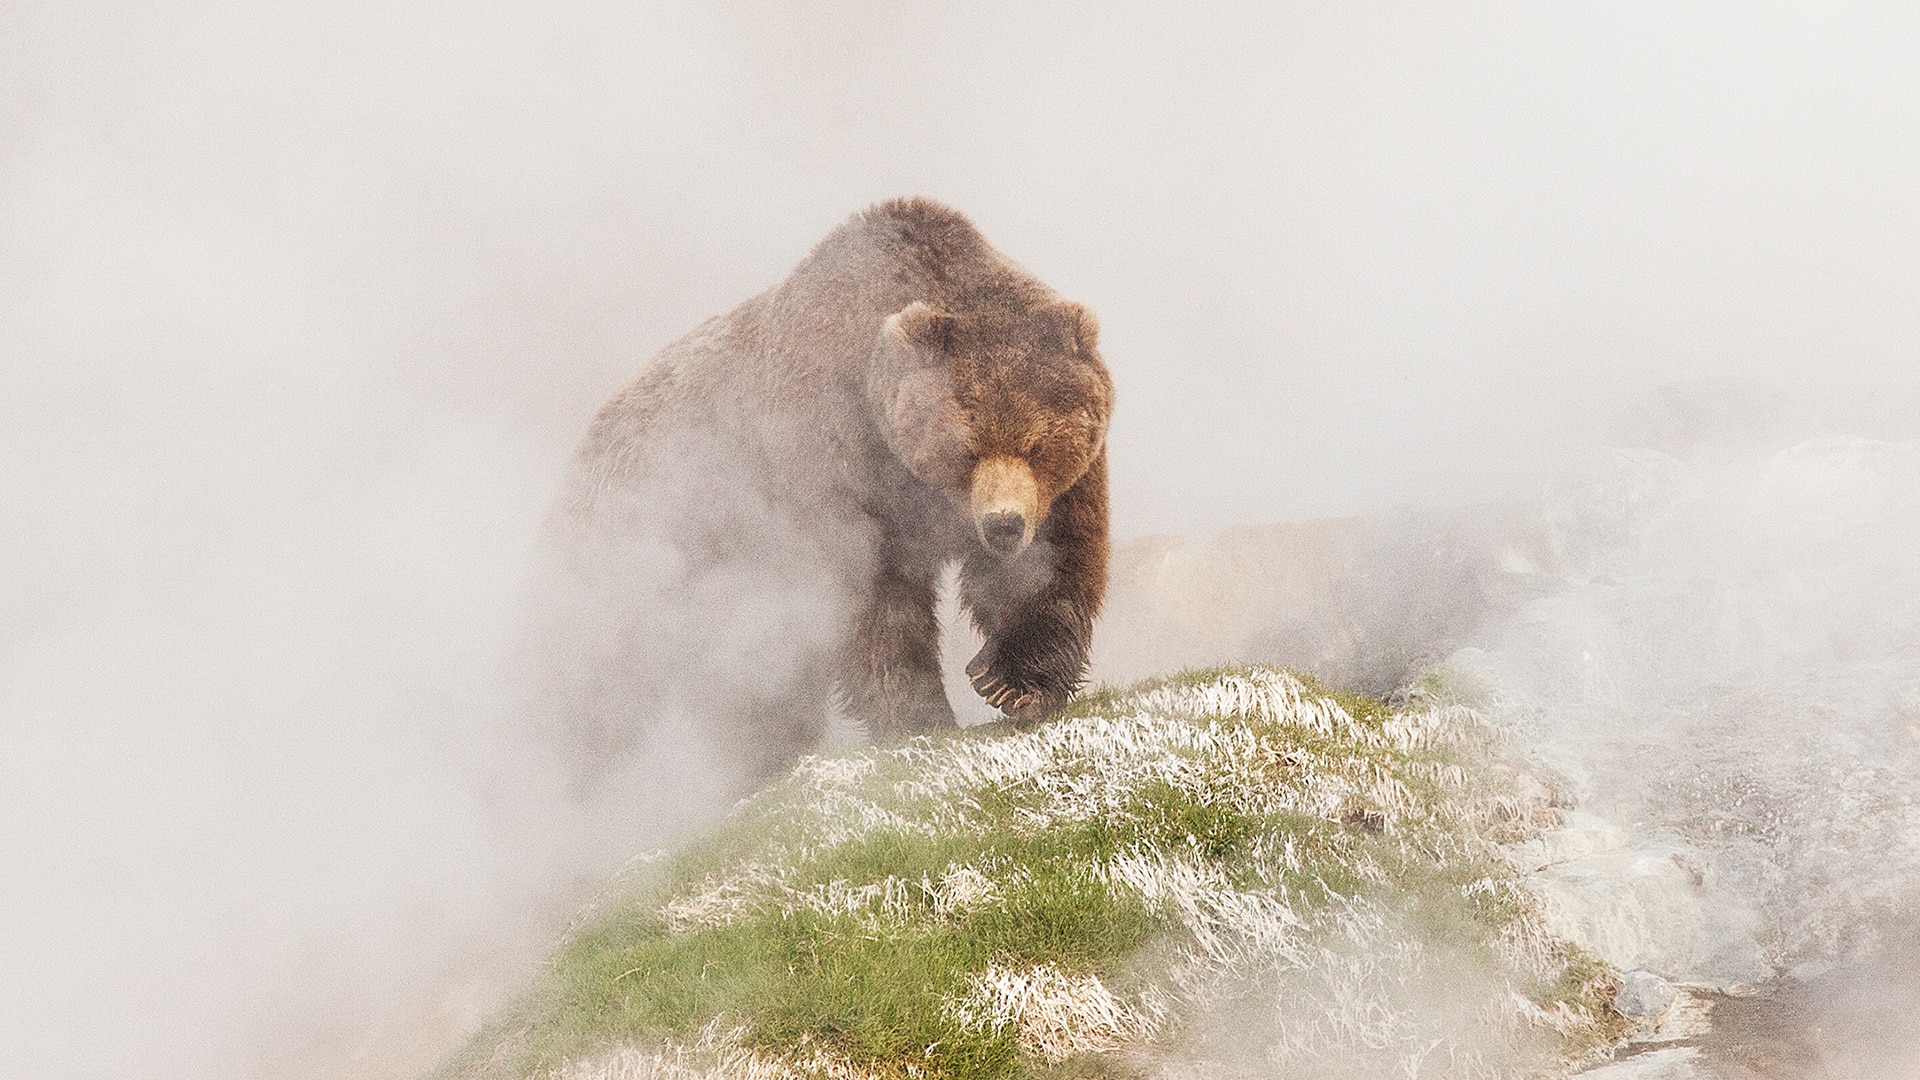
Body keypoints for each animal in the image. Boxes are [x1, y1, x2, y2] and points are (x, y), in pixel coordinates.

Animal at [533, 195, 1121, 780]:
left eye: (1037, 446)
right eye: (967, 447)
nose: (1003, 526)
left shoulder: (1062, 489)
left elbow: (1057, 563)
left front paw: (1013, 684)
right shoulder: (832, 460)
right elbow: (872, 600)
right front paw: (920, 716)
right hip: (637, 565)